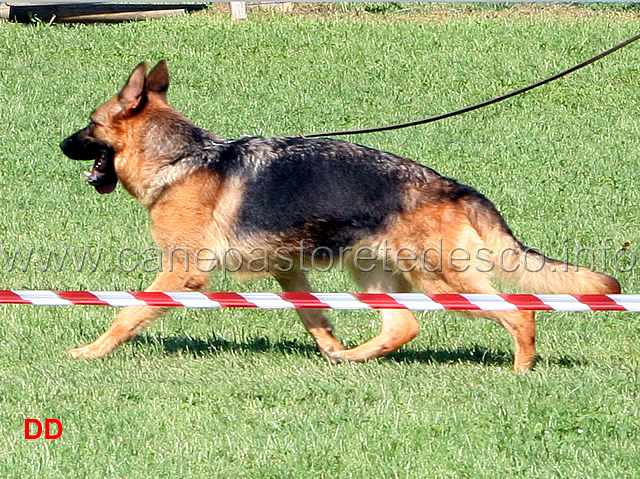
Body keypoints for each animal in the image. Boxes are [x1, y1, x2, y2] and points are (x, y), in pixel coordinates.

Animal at [60, 61, 620, 372]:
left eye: (90, 124)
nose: (59, 144)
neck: (183, 159)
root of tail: (454, 188)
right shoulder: (288, 270)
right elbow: (314, 316)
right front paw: (330, 347)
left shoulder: (183, 271)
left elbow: (129, 312)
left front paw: (92, 351)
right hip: (377, 276)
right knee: (403, 326)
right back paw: (353, 358)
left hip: (442, 279)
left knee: (519, 311)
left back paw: (521, 371)